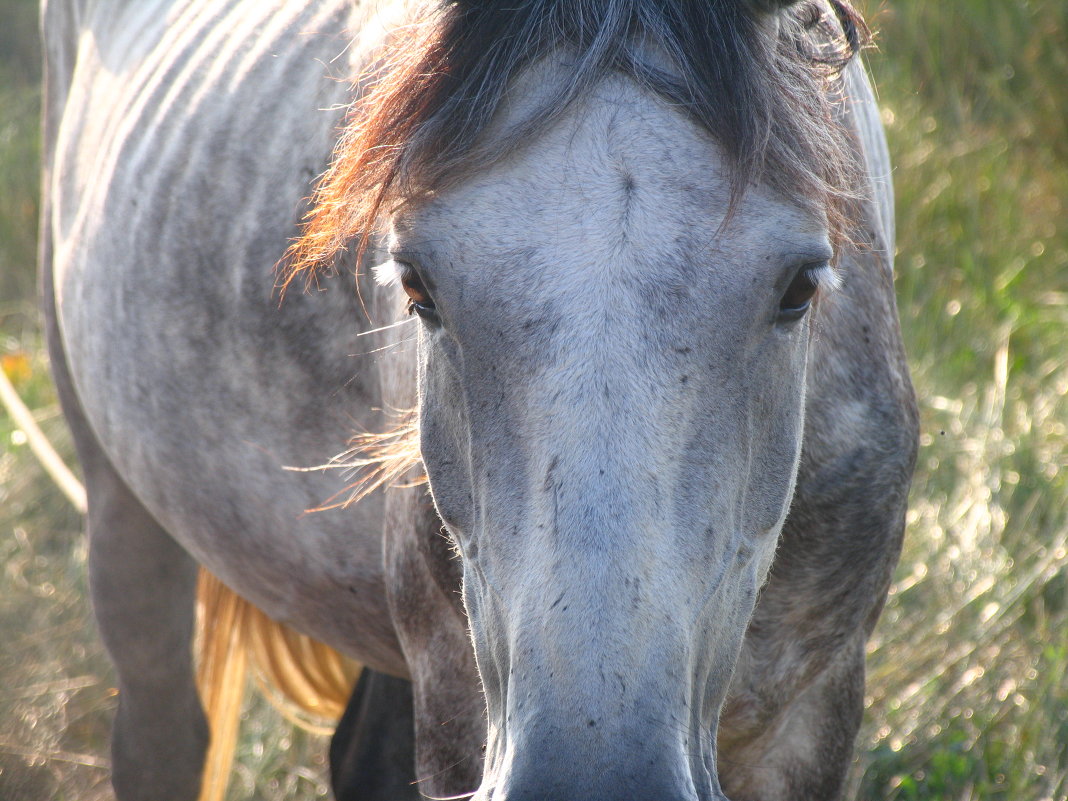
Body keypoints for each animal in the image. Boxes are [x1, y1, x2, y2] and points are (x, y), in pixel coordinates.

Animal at [41, 0, 918, 798]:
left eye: (800, 285)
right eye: (417, 285)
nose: (589, 781)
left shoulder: (815, 709)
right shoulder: (457, 697)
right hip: (120, 501)